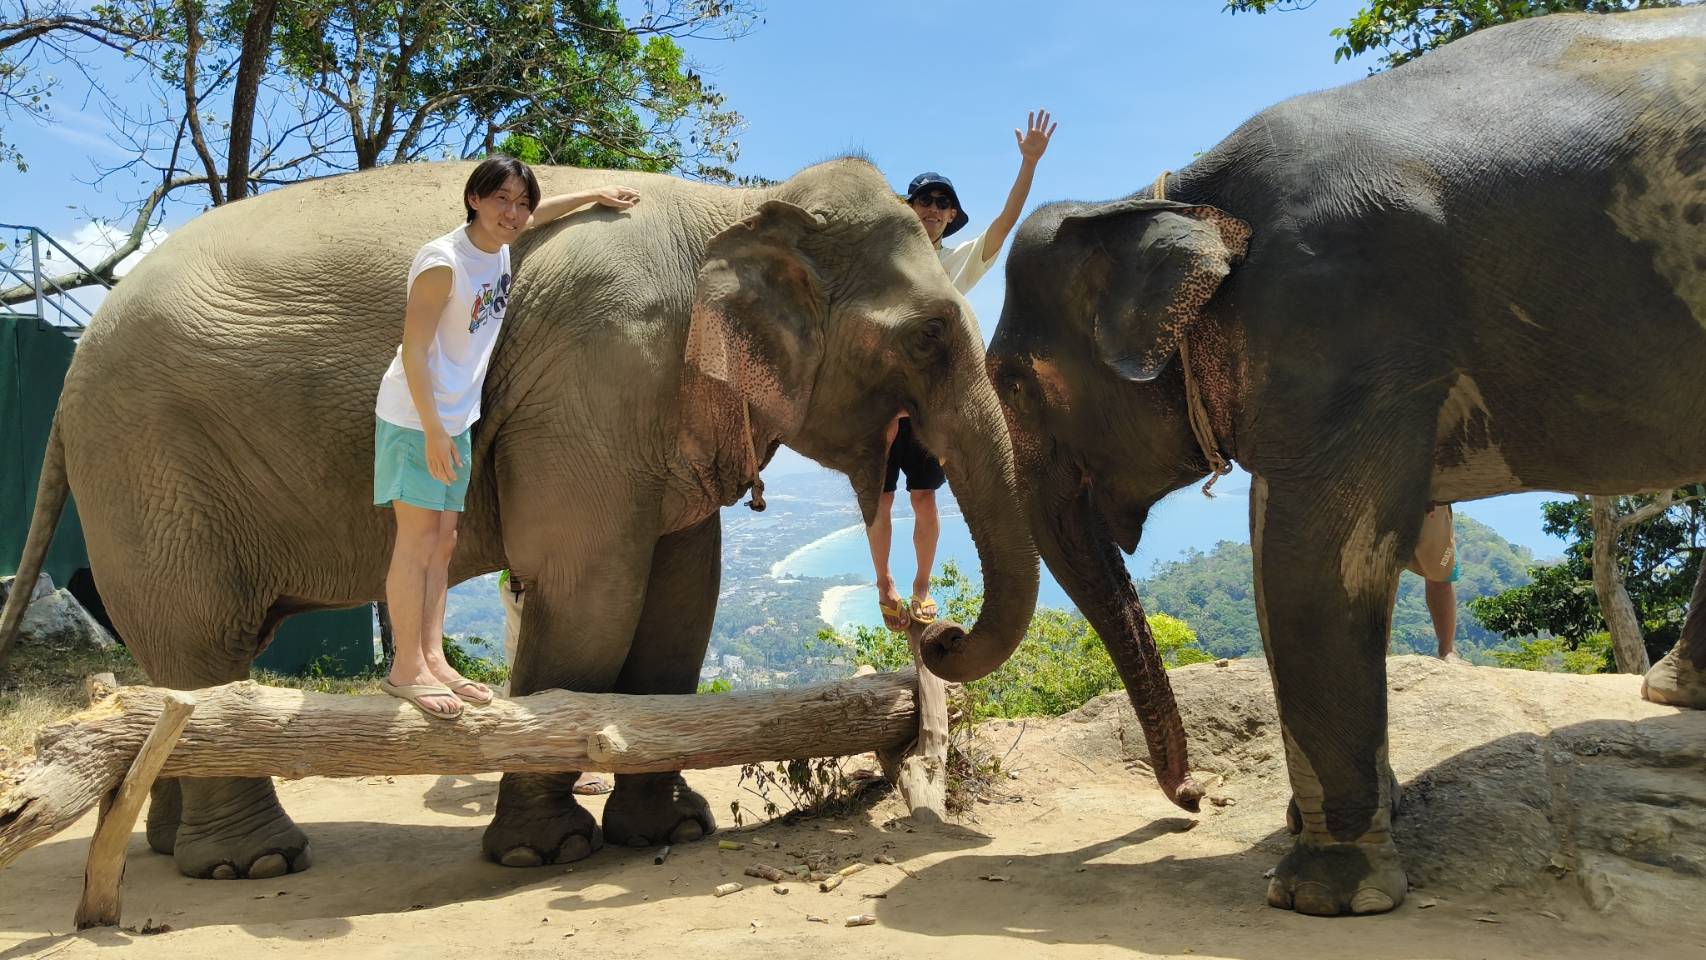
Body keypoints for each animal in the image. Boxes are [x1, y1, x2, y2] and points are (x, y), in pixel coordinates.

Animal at [0, 157, 1039, 878]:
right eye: (930, 337)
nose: (930, 628)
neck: (732, 207)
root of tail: (75, 360)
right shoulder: (598, 373)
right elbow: (589, 593)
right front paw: (549, 853)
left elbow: (682, 595)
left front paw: (669, 832)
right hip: (150, 459)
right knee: (202, 637)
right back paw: (250, 861)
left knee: (185, 647)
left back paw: (168, 849)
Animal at [948, 8, 1706, 917]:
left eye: (1012, 383)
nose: (1195, 799)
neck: (1173, 195)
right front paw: (1351, 820)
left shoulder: (1338, 314)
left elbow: (1307, 559)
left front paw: (1322, 892)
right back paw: (1679, 695)